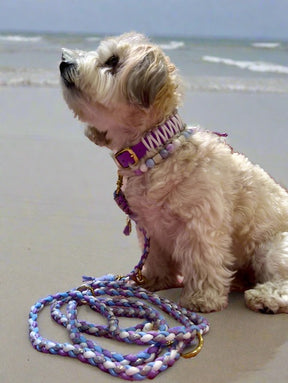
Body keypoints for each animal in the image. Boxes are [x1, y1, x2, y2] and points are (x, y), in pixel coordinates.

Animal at [58, 32, 288, 316]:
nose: (64, 62)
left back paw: (265, 298)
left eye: (112, 61)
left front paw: (201, 298)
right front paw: (155, 280)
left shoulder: (201, 225)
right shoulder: (150, 228)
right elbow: (156, 257)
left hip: (273, 248)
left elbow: (203, 261)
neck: (156, 149)